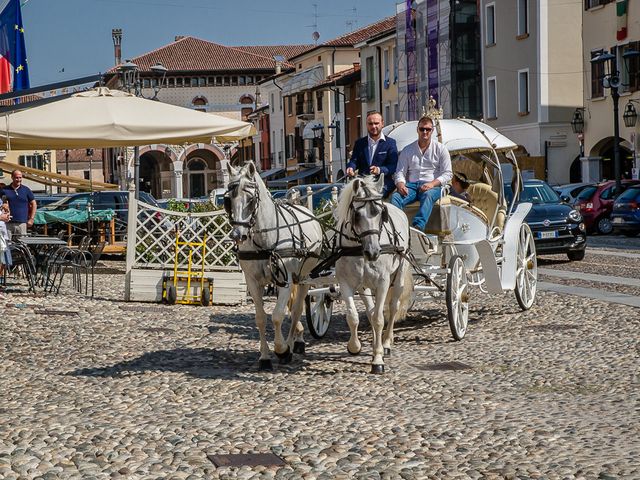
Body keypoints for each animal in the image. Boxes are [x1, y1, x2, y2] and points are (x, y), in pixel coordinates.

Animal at [225, 162, 324, 372]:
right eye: (228, 200)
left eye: (251, 199)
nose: (238, 235)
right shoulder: (253, 282)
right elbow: (261, 318)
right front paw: (264, 357)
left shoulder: (286, 280)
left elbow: (277, 316)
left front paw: (282, 349)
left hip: (303, 278)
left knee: (296, 310)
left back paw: (293, 344)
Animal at [332, 174, 412, 374]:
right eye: (357, 214)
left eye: (381, 214)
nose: (373, 252)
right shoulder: (346, 283)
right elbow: (353, 316)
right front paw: (354, 346)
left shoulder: (383, 282)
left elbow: (379, 319)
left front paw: (378, 359)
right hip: (364, 286)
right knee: (370, 311)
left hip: (399, 275)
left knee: (392, 307)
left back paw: (386, 343)